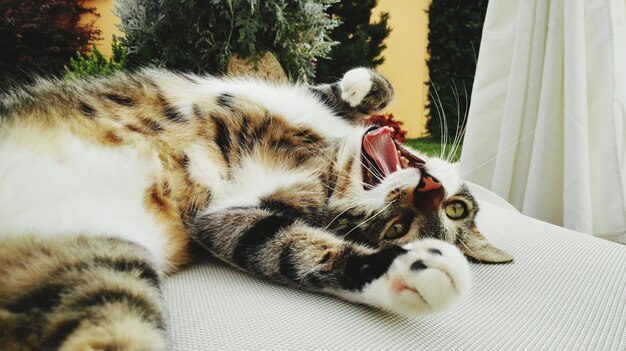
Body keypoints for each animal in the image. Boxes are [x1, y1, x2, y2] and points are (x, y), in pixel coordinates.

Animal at [0, 67, 510, 350]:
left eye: (397, 230)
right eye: (457, 208)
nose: (429, 189)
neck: (329, 156)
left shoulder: (224, 218)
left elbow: (291, 249)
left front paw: (409, 273)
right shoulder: (302, 103)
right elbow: (359, 89)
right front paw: (360, 88)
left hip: (107, 269)